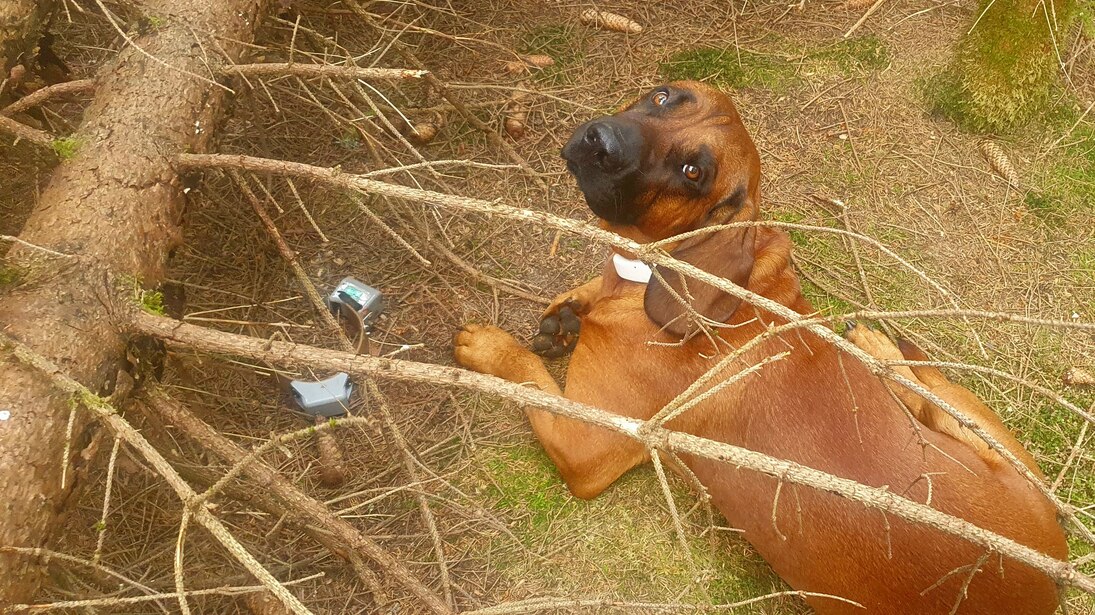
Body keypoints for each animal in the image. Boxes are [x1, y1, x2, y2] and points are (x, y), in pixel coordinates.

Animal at [451, 82, 1059, 612]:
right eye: (662, 96)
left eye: (692, 172)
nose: (600, 138)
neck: (659, 269)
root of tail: (1050, 586)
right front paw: (568, 311)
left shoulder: (585, 446)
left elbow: (527, 375)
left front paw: (489, 347)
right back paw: (881, 352)